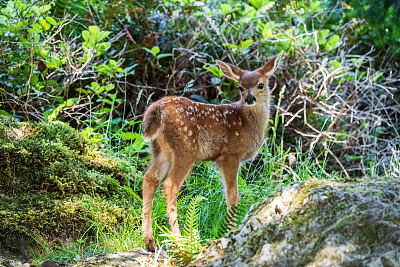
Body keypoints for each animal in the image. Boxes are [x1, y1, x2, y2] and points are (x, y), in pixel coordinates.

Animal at [142, 51, 282, 252]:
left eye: (260, 84)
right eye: (240, 87)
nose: (249, 99)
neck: (246, 125)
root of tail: (157, 110)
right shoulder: (230, 155)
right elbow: (233, 196)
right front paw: (231, 232)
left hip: (161, 150)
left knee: (150, 178)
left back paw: (150, 242)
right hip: (186, 148)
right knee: (169, 185)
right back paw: (180, 241)